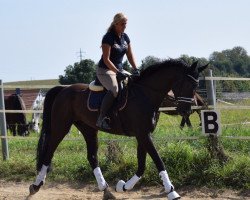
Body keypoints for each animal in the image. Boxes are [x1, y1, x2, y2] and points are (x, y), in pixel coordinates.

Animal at [29, 59, 207, 200]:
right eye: (188, 84)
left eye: (196, 85)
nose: (186, 110)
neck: (145, 94)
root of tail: (64, 89)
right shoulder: (143, 135)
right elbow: (158, 161)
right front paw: (171, 191)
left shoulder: (143, 135)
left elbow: (142, 165)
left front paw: (124, 186)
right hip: (61, 127)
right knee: (48, 152)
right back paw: (36, 186)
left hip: (88, 129)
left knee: (92, 157)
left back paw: (106, 191)